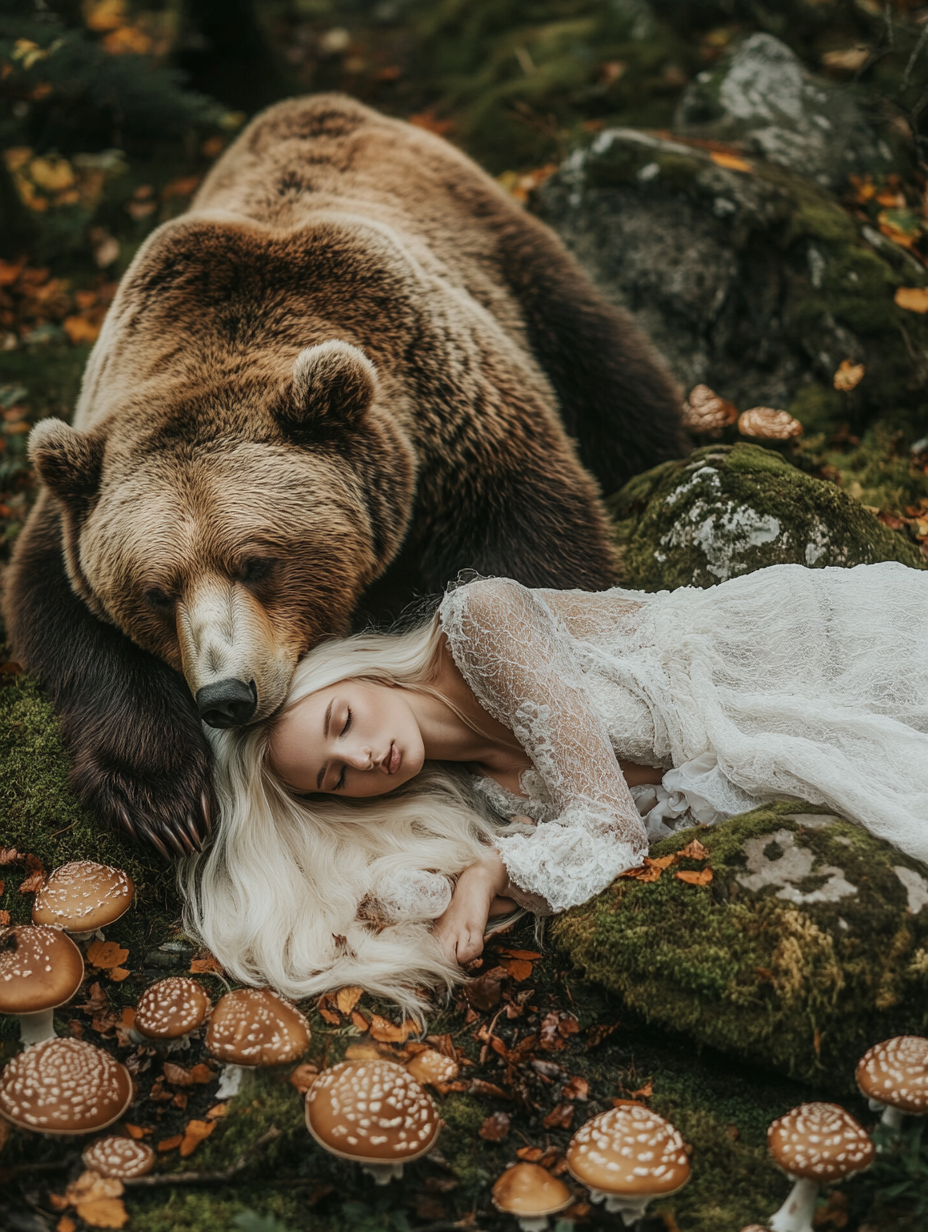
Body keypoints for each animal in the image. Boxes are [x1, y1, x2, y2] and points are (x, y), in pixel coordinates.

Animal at [3, 96, 685, 857]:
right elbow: (66, 618)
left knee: (606, 360)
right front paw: (163, 798)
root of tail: (327, 104)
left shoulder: (450, 429)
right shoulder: (86, 472)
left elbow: (531, 550)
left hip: (502, 245)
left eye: (257, 562)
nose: (226, 696)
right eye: (155, 591)